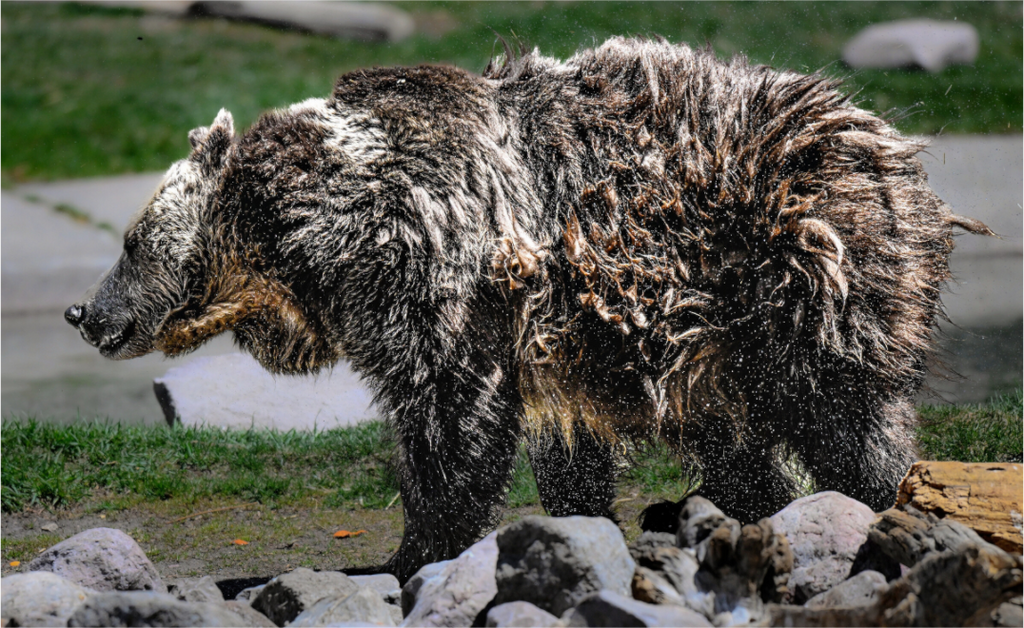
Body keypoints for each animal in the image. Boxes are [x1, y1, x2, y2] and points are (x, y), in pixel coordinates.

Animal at [65, 37, 990, 582]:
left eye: (130, 241)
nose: (87, 315)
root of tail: (892, 145)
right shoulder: (554, 338)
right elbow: (564, 449)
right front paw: (572, 527)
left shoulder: (437, 284)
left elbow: (450, 422)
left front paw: (414, 550)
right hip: (714, 335)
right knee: (737, 439)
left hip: (795, 270)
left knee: (848, 417)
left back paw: (882, 505)